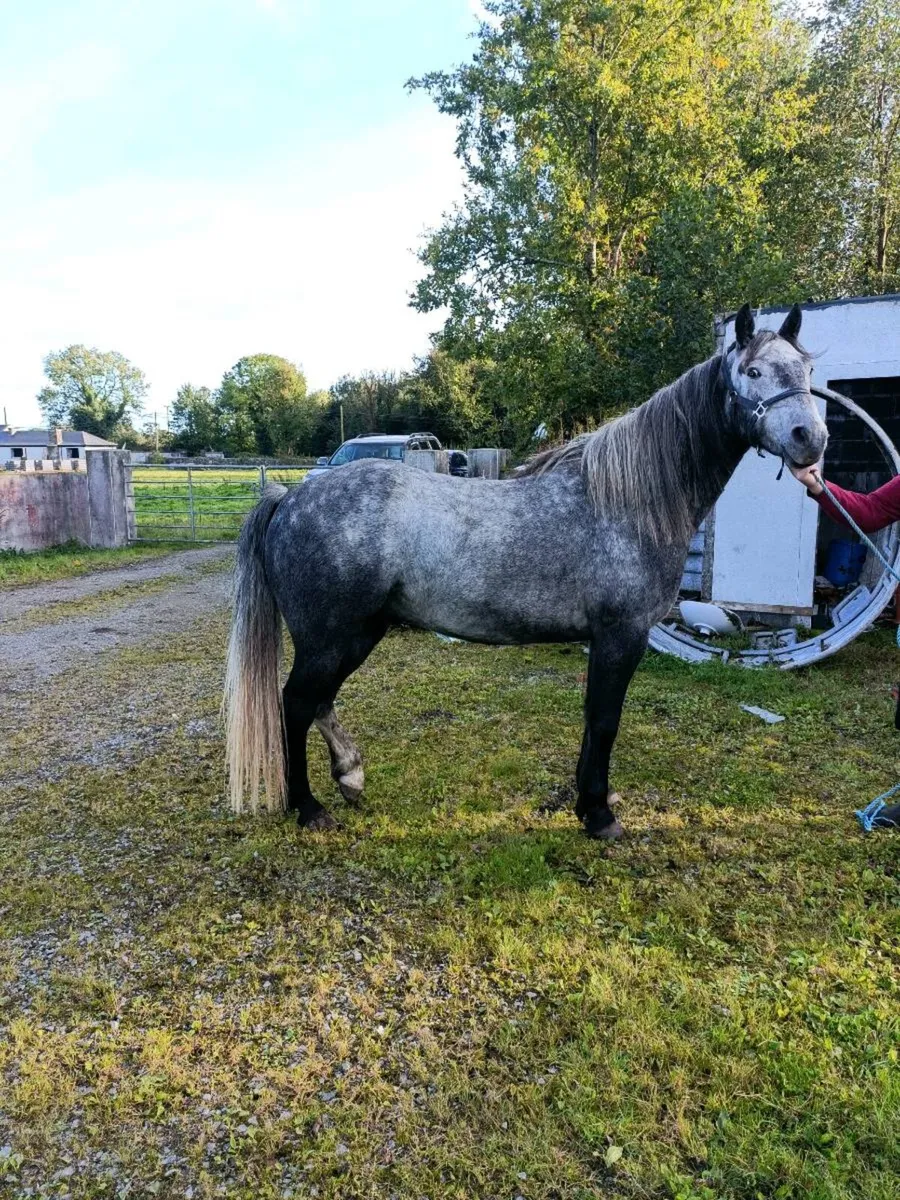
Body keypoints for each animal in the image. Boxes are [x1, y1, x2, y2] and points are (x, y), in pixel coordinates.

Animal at [224, 303, 827, 839]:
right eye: (752, 372)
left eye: (808, 372)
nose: (811, 440)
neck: (625, 502)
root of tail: (291, 496)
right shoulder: (620, 635)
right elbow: (604, 720)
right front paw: (599, 816)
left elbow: (592, 720)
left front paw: (590, 802)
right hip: (330, 637)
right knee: (296, 703)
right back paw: (309, 807)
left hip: (357, 633)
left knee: (318, 702)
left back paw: (350, 776)